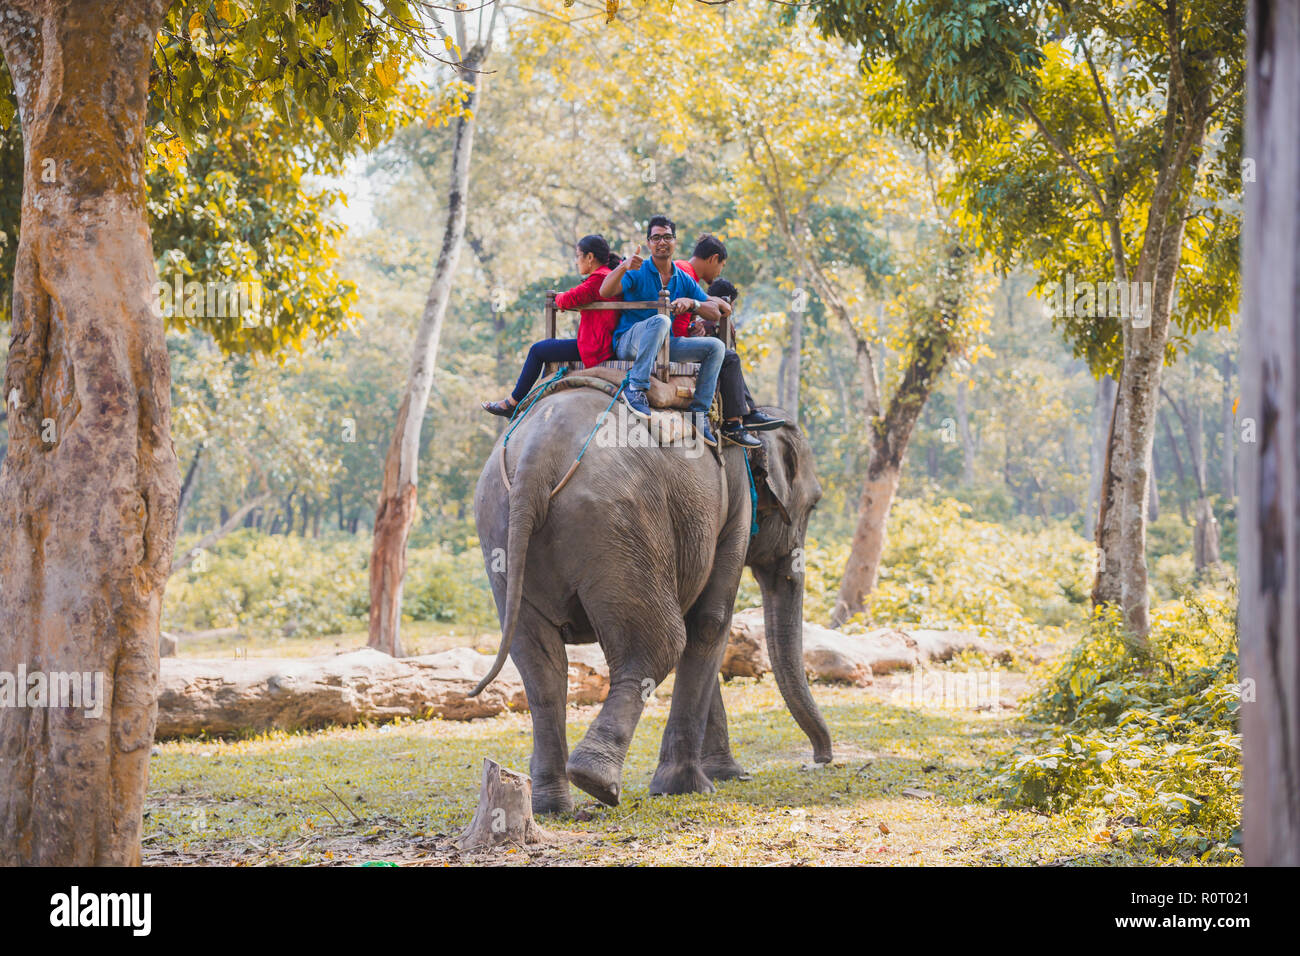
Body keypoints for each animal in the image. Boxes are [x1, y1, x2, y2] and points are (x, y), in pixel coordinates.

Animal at [471, 386, 831, 814]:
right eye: (812, 504)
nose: (821, 759)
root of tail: (535, 460)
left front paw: (724, 775)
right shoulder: (736, 503)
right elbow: (710, 622)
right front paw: (693, 787)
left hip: (501, 527)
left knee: (540, 665)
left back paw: (552, 804)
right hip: (622, 524)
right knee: (658, 644)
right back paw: (597, 782)